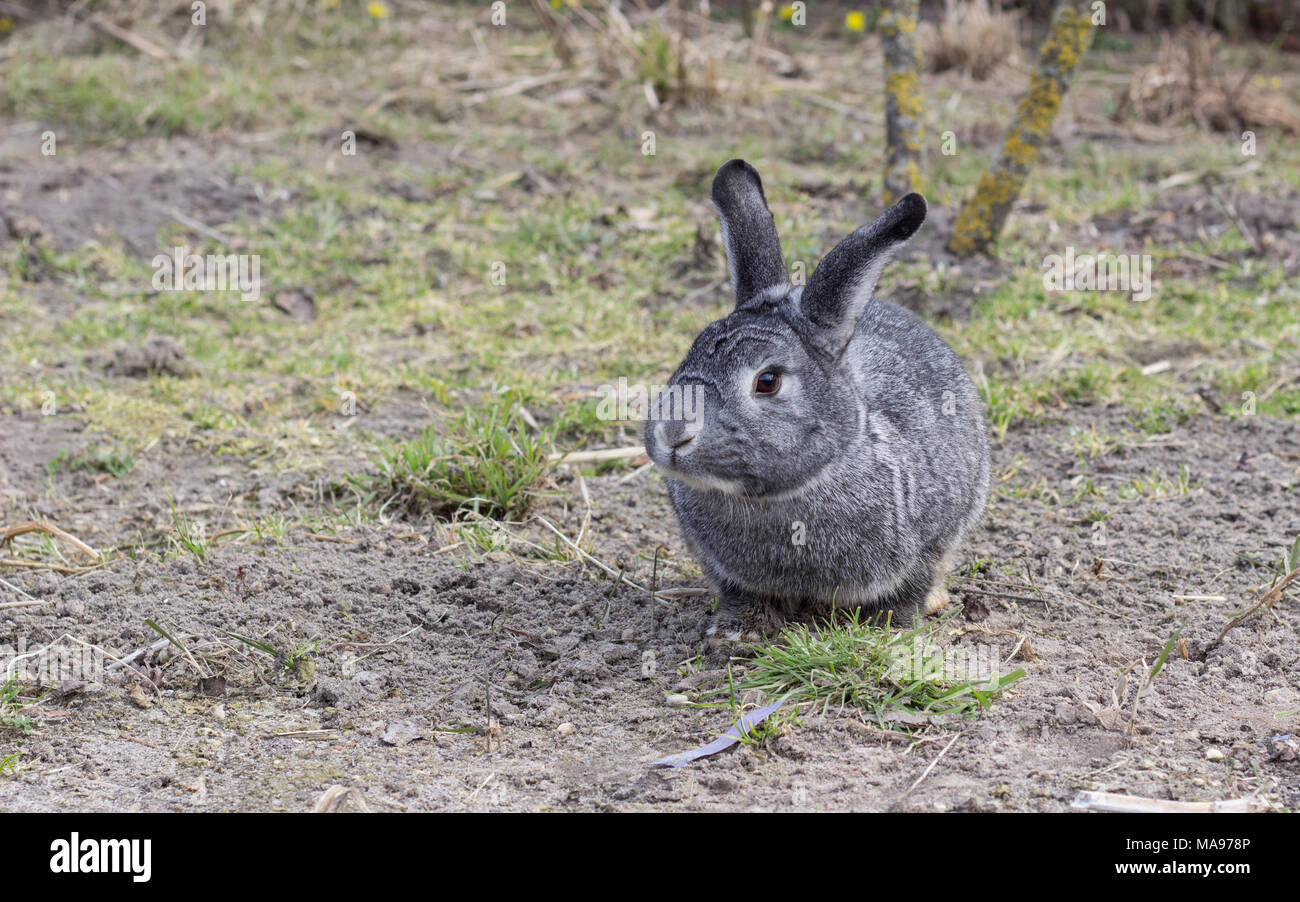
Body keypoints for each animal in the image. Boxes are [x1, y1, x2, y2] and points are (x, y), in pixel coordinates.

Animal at [644, 159, 989, 630]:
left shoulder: (930, 540)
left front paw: (893, 625)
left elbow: (911, 586)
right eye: (690, 352)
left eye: (767, 381)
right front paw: (736, 630)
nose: (673, 433)